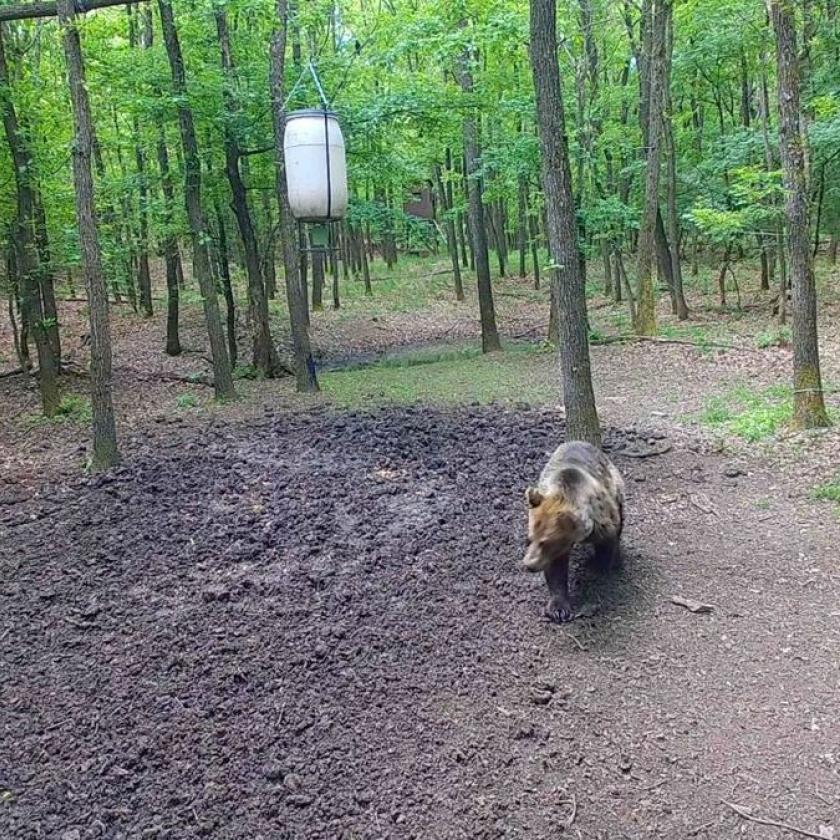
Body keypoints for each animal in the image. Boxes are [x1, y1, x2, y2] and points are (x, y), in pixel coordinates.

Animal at [524, 442, 624, 620]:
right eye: (529, 539)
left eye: (545, 542)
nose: (529, 565)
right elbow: (556, 570)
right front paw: (558, 608)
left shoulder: (602, 522)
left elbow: (607, 545)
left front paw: (598, 569)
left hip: (615, 484)